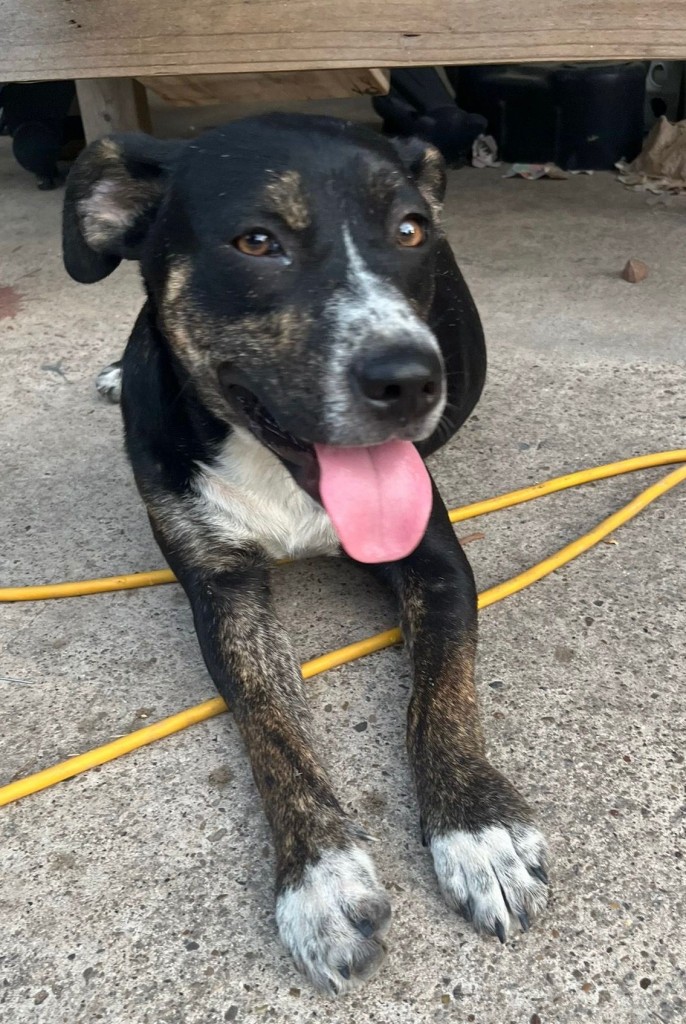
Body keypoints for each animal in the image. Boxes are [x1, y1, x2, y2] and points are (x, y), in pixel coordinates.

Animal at [62, 114, 549, 995]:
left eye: (409, 230)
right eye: (257, 242)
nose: (411, 380)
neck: (276, 466)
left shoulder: (437, 561)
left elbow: (444, 693)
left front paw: (478, 829)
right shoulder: (221, 588)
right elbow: (271, 722)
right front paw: (318, 878)